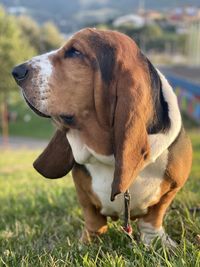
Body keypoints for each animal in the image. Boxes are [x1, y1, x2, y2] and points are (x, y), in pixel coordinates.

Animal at [12, 28, 192, 248]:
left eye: (75, 52)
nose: (17, 71)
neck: (108, 158)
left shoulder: (174, 187)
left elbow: (154, 215)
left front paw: (157, 241)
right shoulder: (82, 191)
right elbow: (92, 217)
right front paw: (87, 242)